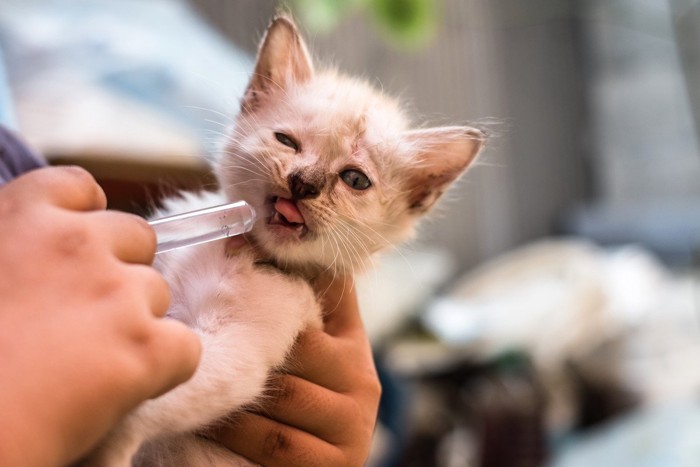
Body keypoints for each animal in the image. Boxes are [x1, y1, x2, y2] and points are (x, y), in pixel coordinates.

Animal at [82, 14, 484, 467]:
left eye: (355, 180)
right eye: (287, 141)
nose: (304, 183)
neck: (228, 246)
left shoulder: (238, 351)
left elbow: (150, 403)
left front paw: (103, 448)